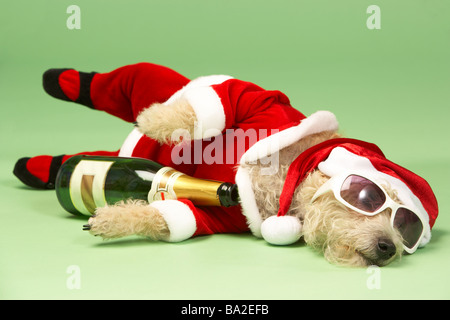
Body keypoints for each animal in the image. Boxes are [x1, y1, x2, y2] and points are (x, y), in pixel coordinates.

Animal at [14, 63, 440, 268]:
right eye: (369, 196)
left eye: (408, 229)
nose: (389, 247)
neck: (288, 180)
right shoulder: (264, 106)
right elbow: (217, 104)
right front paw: (155, 120)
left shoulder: (221, 216)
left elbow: (168, 215)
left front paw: (114, 219)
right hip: (150, 82)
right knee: (124, 80)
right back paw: (61, 80)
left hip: (107, 153)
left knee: (77, 160)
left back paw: (40, 168)